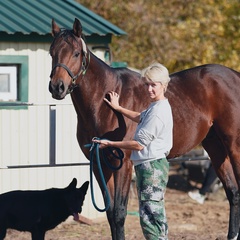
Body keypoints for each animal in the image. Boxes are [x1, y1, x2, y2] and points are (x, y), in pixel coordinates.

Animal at [48, 18, 240, 240]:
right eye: (52, 52)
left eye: (76, 53)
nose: (57, 87)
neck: (103, 105)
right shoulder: (99, 164)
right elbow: (110, 214)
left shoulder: (123, 164)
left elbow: (119, 212)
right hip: (216, 147)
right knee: (233, 192)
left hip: (234, 146)